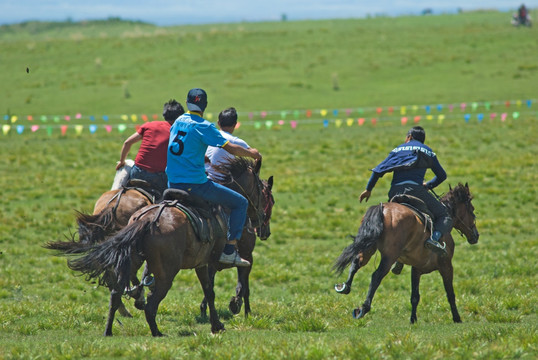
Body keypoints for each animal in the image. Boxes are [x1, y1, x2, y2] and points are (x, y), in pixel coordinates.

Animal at [330, 183, 478, 324]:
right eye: (472, 210)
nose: (476, 235)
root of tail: (382, 208)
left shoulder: (416, 269)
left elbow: (415, 296)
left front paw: (413, 320)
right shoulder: (446, 265)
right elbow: (450, 293)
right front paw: (457, 318)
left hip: (368, 247)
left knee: (356, 262)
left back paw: (345, 287)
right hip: (389, 256)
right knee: (376, 275)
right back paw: (363, 308)